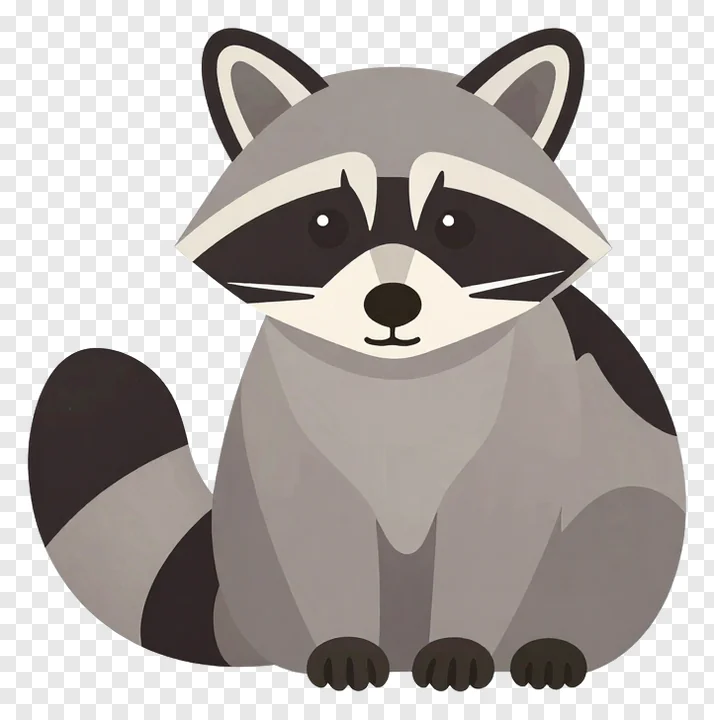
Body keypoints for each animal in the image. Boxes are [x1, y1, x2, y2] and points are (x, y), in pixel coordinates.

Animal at [29, 28, 685, 691]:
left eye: (455, 224)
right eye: (325, 223)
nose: (392, 302)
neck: (396, 381)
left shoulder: (532, 423)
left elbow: (491, 543)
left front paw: (462, 640)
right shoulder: (283, 433)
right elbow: (319, 537)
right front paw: (341, 641)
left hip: (626, 504)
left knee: (609, 534)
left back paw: (553, 638)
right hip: (250, 544)